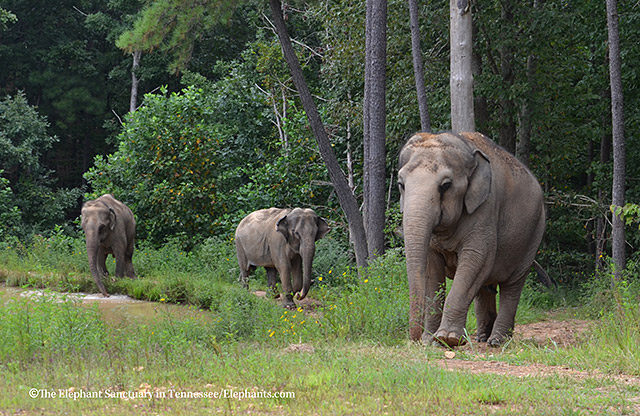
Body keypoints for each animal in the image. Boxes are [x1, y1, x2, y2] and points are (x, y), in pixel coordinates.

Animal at [400, 132, 544, 348]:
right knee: (486, 287)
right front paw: (430, 340)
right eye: (401, 184)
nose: (415, 339)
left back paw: (497, 340)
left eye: (446, 185)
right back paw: (483, 337)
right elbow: (432, 270)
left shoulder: (485, 209)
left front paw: (448, 338)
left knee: (512, 286)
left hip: (533, 235)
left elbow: (477, 258)